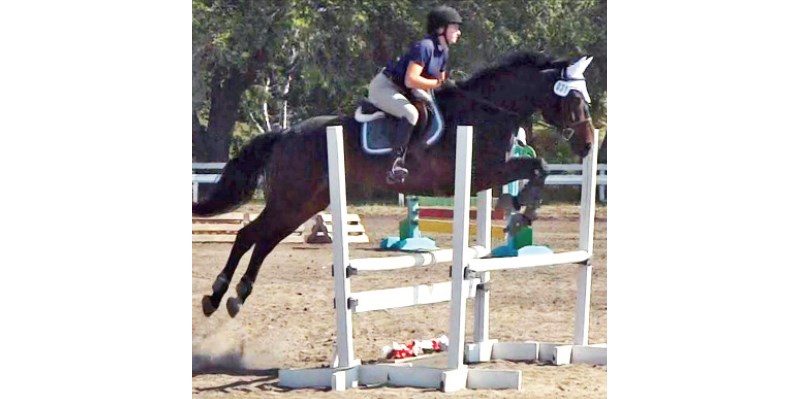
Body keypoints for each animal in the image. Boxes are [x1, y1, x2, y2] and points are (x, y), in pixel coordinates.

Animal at [192, 50, 592, 318]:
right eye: (574, 99)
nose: (588, 144)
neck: (486, 110)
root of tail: (285, 133)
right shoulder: (484, 172)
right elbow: (538, 166)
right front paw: (521, 211)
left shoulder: (493, 170)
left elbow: (538, 167)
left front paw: (521, 211)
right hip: (291, 199)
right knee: (249, 235)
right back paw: (217, 295)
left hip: (304, 204)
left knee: (264, 240)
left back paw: (235, 295)